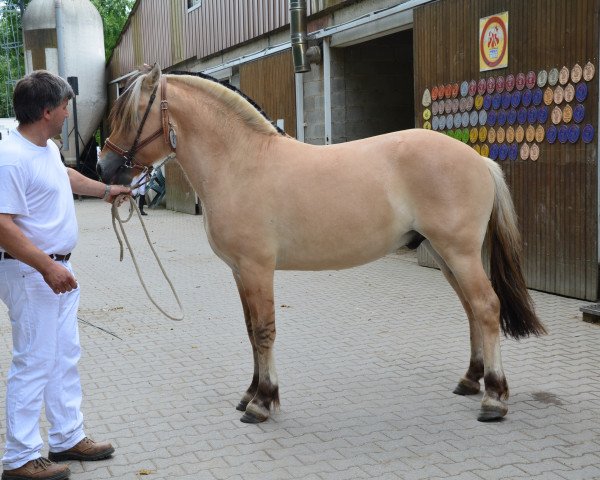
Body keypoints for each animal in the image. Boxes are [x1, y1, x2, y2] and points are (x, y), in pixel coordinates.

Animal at [97, 63, 544, 424]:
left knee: (486, 308)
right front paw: (250, 394)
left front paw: (262, 403)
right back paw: (471, 380)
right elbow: (250, 331)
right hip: (446, 255)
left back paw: (494, 398)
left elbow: (264, 331)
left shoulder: (258, 269)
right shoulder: (240, 272)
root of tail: (478, 160)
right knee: (471, 311)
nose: (103, 168)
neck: (241, 163)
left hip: (459, 253)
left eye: (134, 115)